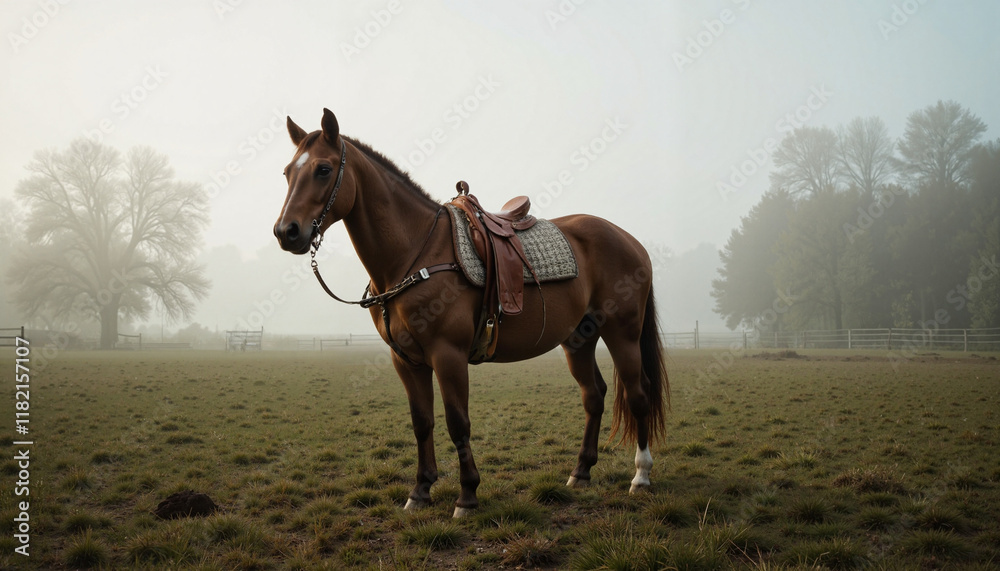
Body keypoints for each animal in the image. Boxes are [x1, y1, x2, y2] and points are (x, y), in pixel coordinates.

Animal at [273, 109, 668, 517]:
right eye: (287, 172)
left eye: (323, 169)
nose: (287, 232)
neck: (417, 253)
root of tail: (630, 240)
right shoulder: (407, 361)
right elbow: (422, 422)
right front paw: (420, 490)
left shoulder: (448, 355)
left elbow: (457, 423)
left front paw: (467, 496)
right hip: (578, 338)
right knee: (594, 395)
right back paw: (581, 471)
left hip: (622, 333)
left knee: (638, 394)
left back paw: (641, 476)